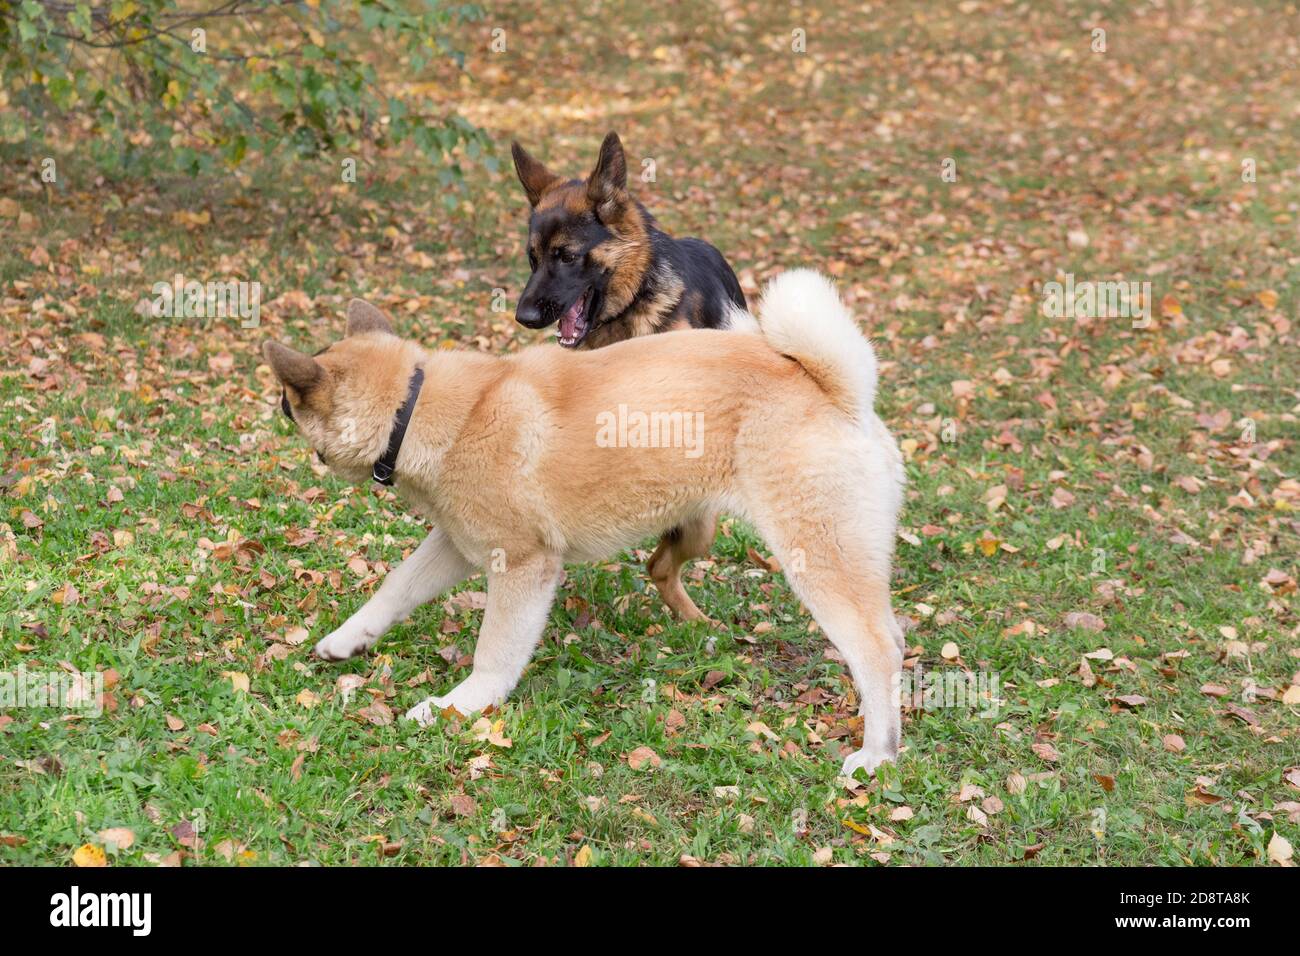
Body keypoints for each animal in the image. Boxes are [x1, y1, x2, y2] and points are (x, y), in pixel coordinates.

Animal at [266, 269, 904, 780]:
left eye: (288, 399)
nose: (275, 404)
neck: (415, 407)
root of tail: (833, 389)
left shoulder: (523, 566)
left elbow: (494, 655)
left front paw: (457, 706)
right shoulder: (457, 544)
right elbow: (394, 587)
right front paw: (348, 640)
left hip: (816, 559)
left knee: (876, 649)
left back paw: (877, 754)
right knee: (889, 639)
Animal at [509, 134, 754, 624]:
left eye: (567, 256)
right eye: (532, 258)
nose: (523, 316)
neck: (633, 303)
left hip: (702, 520)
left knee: (661, 564)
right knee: (658, 565)